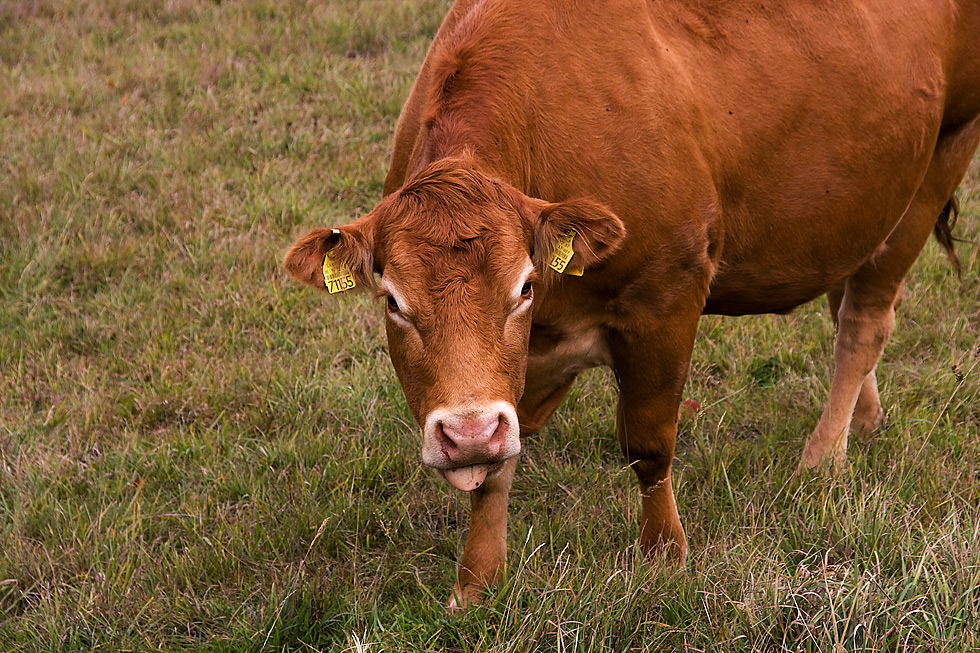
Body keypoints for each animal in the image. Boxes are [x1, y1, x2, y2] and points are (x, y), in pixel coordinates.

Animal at [288, 0, 980, 608]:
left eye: (524, 286)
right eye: (393, 302)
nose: (467, 432)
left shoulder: (666, 295)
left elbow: (649, 444)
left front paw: (664, 554)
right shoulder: (517, 372)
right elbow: (498, 468)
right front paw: (477, 581)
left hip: (942, 155)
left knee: (863, 323)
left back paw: (822, 460)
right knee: (845, 298)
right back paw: (863, 418)